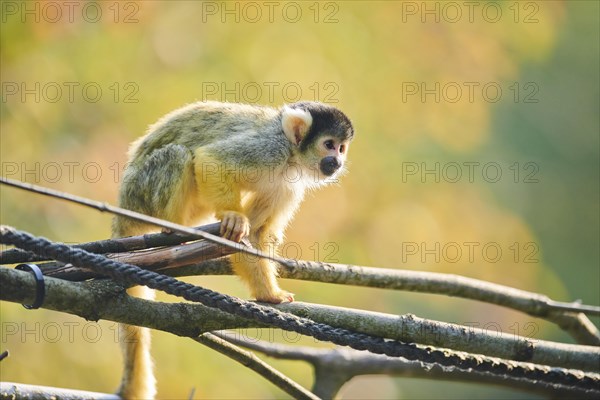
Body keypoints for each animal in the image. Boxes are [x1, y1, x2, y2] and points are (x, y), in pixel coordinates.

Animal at [112, 100, 354, 396]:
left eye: (341, 148)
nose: (338, 161)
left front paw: (269, 294)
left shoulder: (288, 185)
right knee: (177, 154)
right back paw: (173, 230)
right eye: (329, 144)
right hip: (139, 192)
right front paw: (233, 216)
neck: (291, 155)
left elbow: (258, 235)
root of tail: (122, 205)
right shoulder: (268, 148)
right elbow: (212, 160)